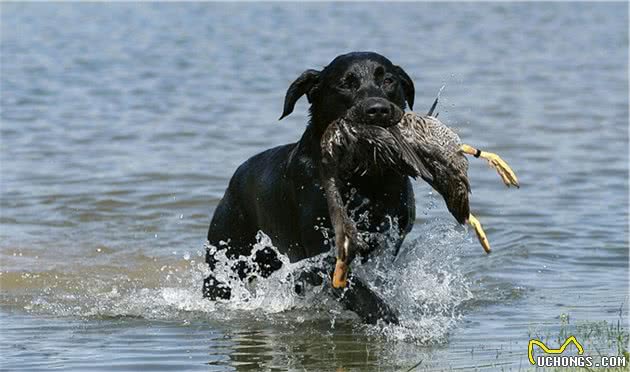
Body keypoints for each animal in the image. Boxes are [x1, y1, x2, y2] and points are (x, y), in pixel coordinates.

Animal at [205, 51, 418, 322]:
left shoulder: (390, 239)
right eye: (345, 83)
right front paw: (386, 316)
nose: (377, 110)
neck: (361, 178)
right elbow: (354, 289)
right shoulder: (319, 250)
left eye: (389, 80)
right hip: (225, 255)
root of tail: (235, 179)